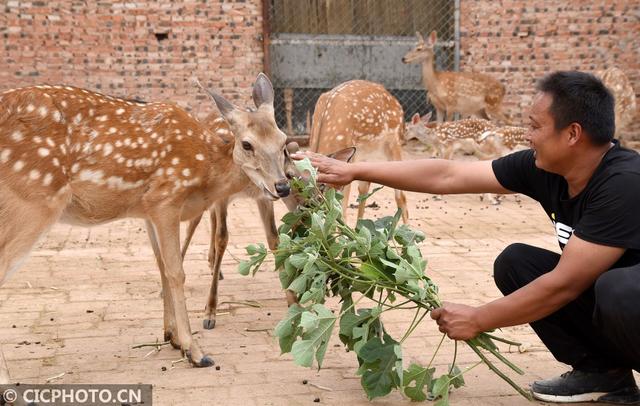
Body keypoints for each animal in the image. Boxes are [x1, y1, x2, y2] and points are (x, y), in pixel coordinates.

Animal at [0, 73, 290, 380]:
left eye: (283, 140)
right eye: (247, 144)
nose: (282, 186)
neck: (205, 168)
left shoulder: (147, 210)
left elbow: (161, 267)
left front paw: (171, 337)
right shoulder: (166, 198)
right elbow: (176, 272)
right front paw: (195, 351)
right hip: (34, 200)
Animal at [312, 79, 410, 224]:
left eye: (322, 186)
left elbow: (341, 212)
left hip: (393, 142)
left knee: (400, 195)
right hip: (365, 154)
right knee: (365, 187)